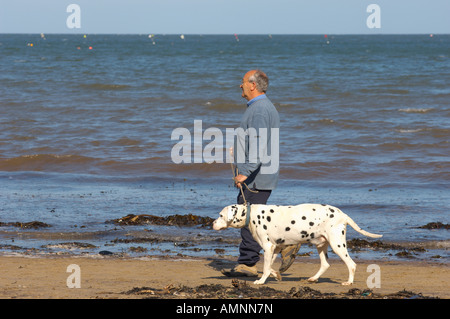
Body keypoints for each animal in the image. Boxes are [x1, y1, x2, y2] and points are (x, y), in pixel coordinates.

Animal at [213, 205, 382, 288]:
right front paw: (276, 274)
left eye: (220, 215)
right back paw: (313, 278)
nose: (212, 223)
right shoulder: (275, 248)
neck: (251, 214)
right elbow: (270, 267)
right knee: (325, 264)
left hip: (337, 245)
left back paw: (349, 282)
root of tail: (343, 215)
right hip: (322, 245)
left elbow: (266, 268)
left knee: (351, 264)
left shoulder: (268, 247)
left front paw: (261, 281)